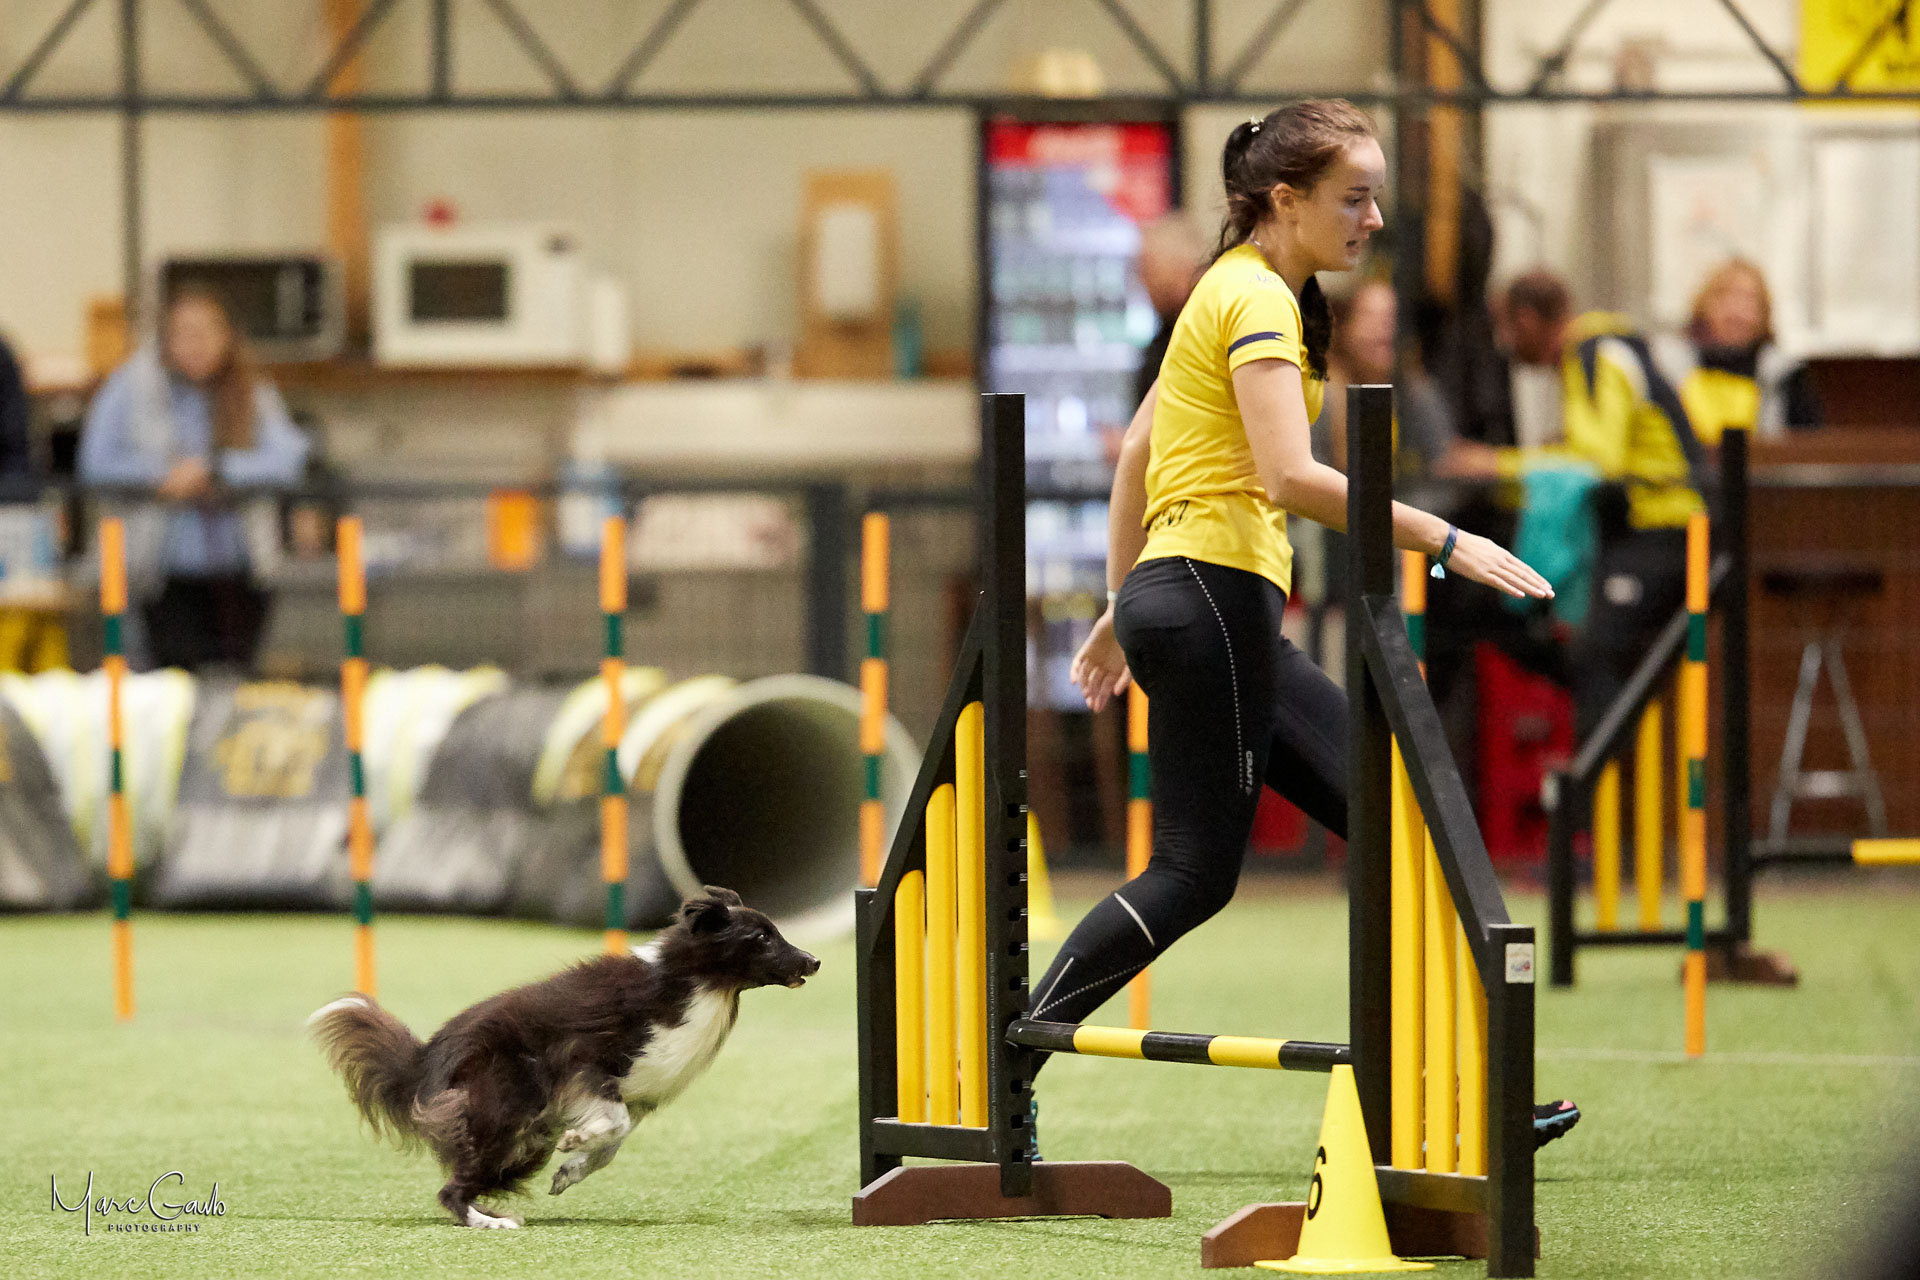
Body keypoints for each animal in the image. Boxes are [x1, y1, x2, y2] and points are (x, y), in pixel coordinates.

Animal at [309, 886, 819, 1228]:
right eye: (761, 937)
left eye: (774, 932)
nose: (814, 961)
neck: (696, 981)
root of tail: (425, 1059)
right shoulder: (586, 1063)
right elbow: (611, 1124)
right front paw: (575, 1142)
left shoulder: (636, 1094)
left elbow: (613, 1144)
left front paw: (569, 1171)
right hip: (506, 1104)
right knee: (451, 1188)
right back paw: (489, 1221)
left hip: (520, 1136)